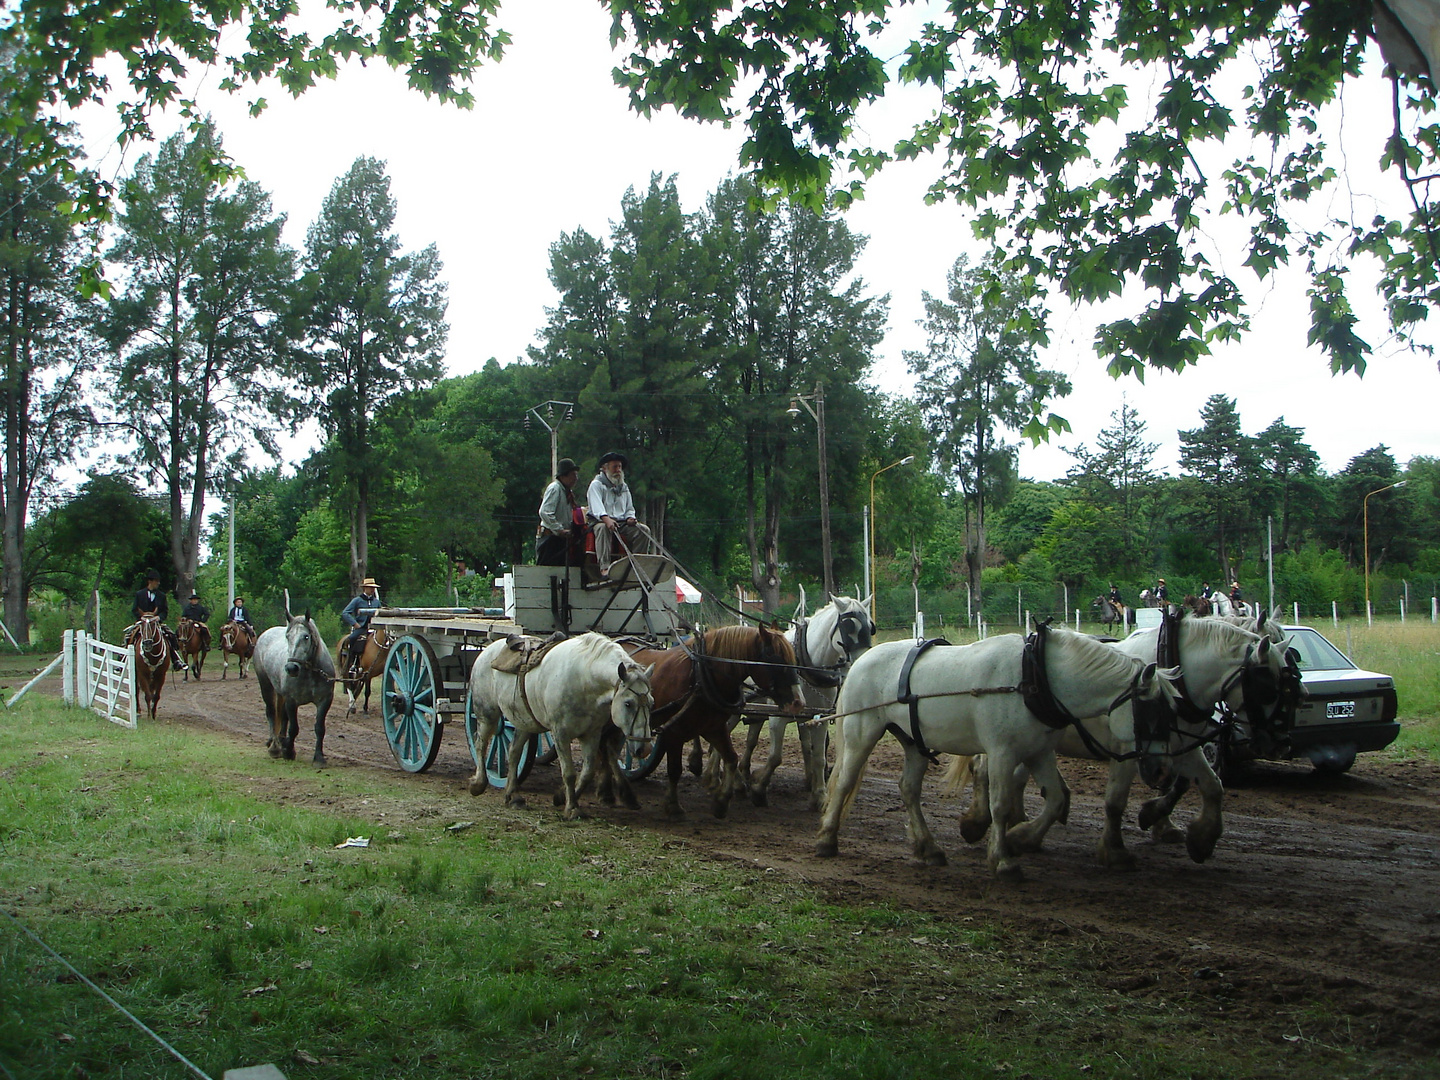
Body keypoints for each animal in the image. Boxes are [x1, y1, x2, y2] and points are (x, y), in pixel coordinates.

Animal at [466, 633, 653, 817]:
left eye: (651, 702)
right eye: (628, 703)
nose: (644, 749)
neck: (584, 678)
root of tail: (487, 651)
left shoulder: (592, 733)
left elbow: (587, 772)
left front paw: (562, 797)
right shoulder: (560, 733)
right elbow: (569, 773)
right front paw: (572, 808)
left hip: (524, 722)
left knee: (513, 752)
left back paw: (514, 796)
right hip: (487, 714)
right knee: (481, 744)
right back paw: (478, 784)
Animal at [619, 624, 806, 817]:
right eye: (773, 658)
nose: (798, 702)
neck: (698, 676)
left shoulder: (714, 727)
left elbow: (731, 759)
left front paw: (722, 800)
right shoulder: (673, 732)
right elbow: (675, 769)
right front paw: (673, 805)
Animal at [743, 593, 875, 812]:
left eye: (871, 627)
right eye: (848, 626)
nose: (861, 662)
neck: (805, 665)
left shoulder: (817, 716)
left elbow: (819, 757)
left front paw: (819, 795)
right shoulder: (778, 717)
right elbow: (775, 756)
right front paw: (759, 789)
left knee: (749, 739)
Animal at [817, 630, 1175, 881]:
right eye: (1152, 713)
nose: (1161, 771)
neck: (1032, 678)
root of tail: (861, 660)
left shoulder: (1039, 752)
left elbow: (1056, 798)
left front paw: (1022, 838)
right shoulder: (1003, 752)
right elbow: (1000, 805)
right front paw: (1003, 860)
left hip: (914, 742)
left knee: (909, 790)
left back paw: (928, 847)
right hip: (861, 733)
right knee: (845, 781)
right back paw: (827, 839)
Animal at [944, 616, 1296, 869]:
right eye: (1269, 686)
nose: (1280, 741)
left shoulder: (1179, 746)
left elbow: (1210, 786)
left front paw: (1196, 836)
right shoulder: (1129, 749)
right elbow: (1116, 801)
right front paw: (1115, 849)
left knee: (1017, 778)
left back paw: (1020, 819)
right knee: (983, 769)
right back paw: (978, 821)